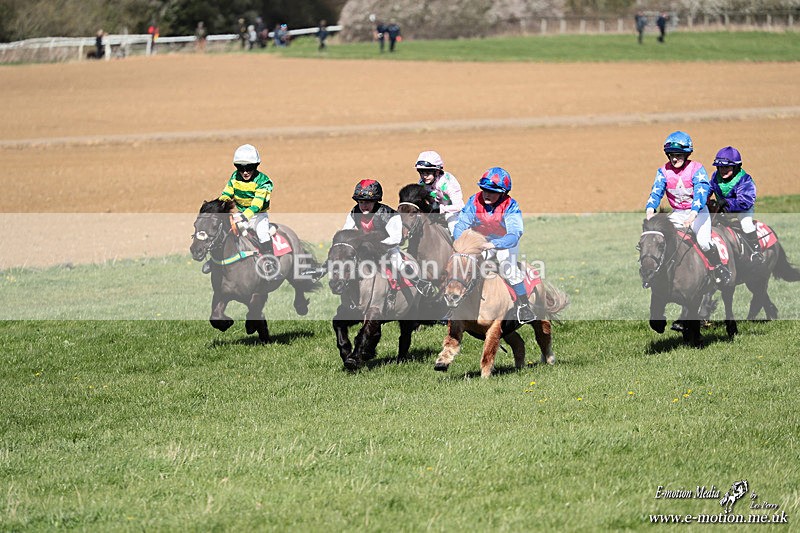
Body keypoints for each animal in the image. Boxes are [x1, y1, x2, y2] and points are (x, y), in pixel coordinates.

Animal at [190, 199, 320, 343]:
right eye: (195, 224)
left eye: (214, 225)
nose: (196, 250)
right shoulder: (221, 294)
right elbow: (215, 317)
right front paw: (228, 323)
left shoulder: (257, 294)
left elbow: (254, 313)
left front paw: (253, 328)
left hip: (296, 269)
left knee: (299, 285)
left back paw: (301, 306)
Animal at [327, 229, 421, 370]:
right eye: (330, 258)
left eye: (350, 257)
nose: (336, 285)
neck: (359, 290)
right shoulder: (352, 312)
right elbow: (338, 323)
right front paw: (347, 352)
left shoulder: (375, 310)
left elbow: (364, 334)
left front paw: (353, 360)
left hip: (408, 311)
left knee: (405, 335)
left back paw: (400, 359)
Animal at [433, 230, 569, 378]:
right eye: (447, 271)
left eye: (469, 272)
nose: (451, 297)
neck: (476, 303)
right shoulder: (458, 323)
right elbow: (451, 342)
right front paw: (442, 362)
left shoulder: (495, 324)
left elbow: (489, 350)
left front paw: (485, 375)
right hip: (509, 329)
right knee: (518, 342)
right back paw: (520, 367)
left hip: (539, 316)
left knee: (543, 335)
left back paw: (549, 359)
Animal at [638, 213, 738, 345]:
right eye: (640, 245)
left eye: (661, 245)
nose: (647, 273)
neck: (672, 271)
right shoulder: (659, 296)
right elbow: (655, 320)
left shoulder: (694, 297)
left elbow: (693, 318)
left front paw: (697, 340)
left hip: (728, 285)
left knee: (728, 303)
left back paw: (732, 330)